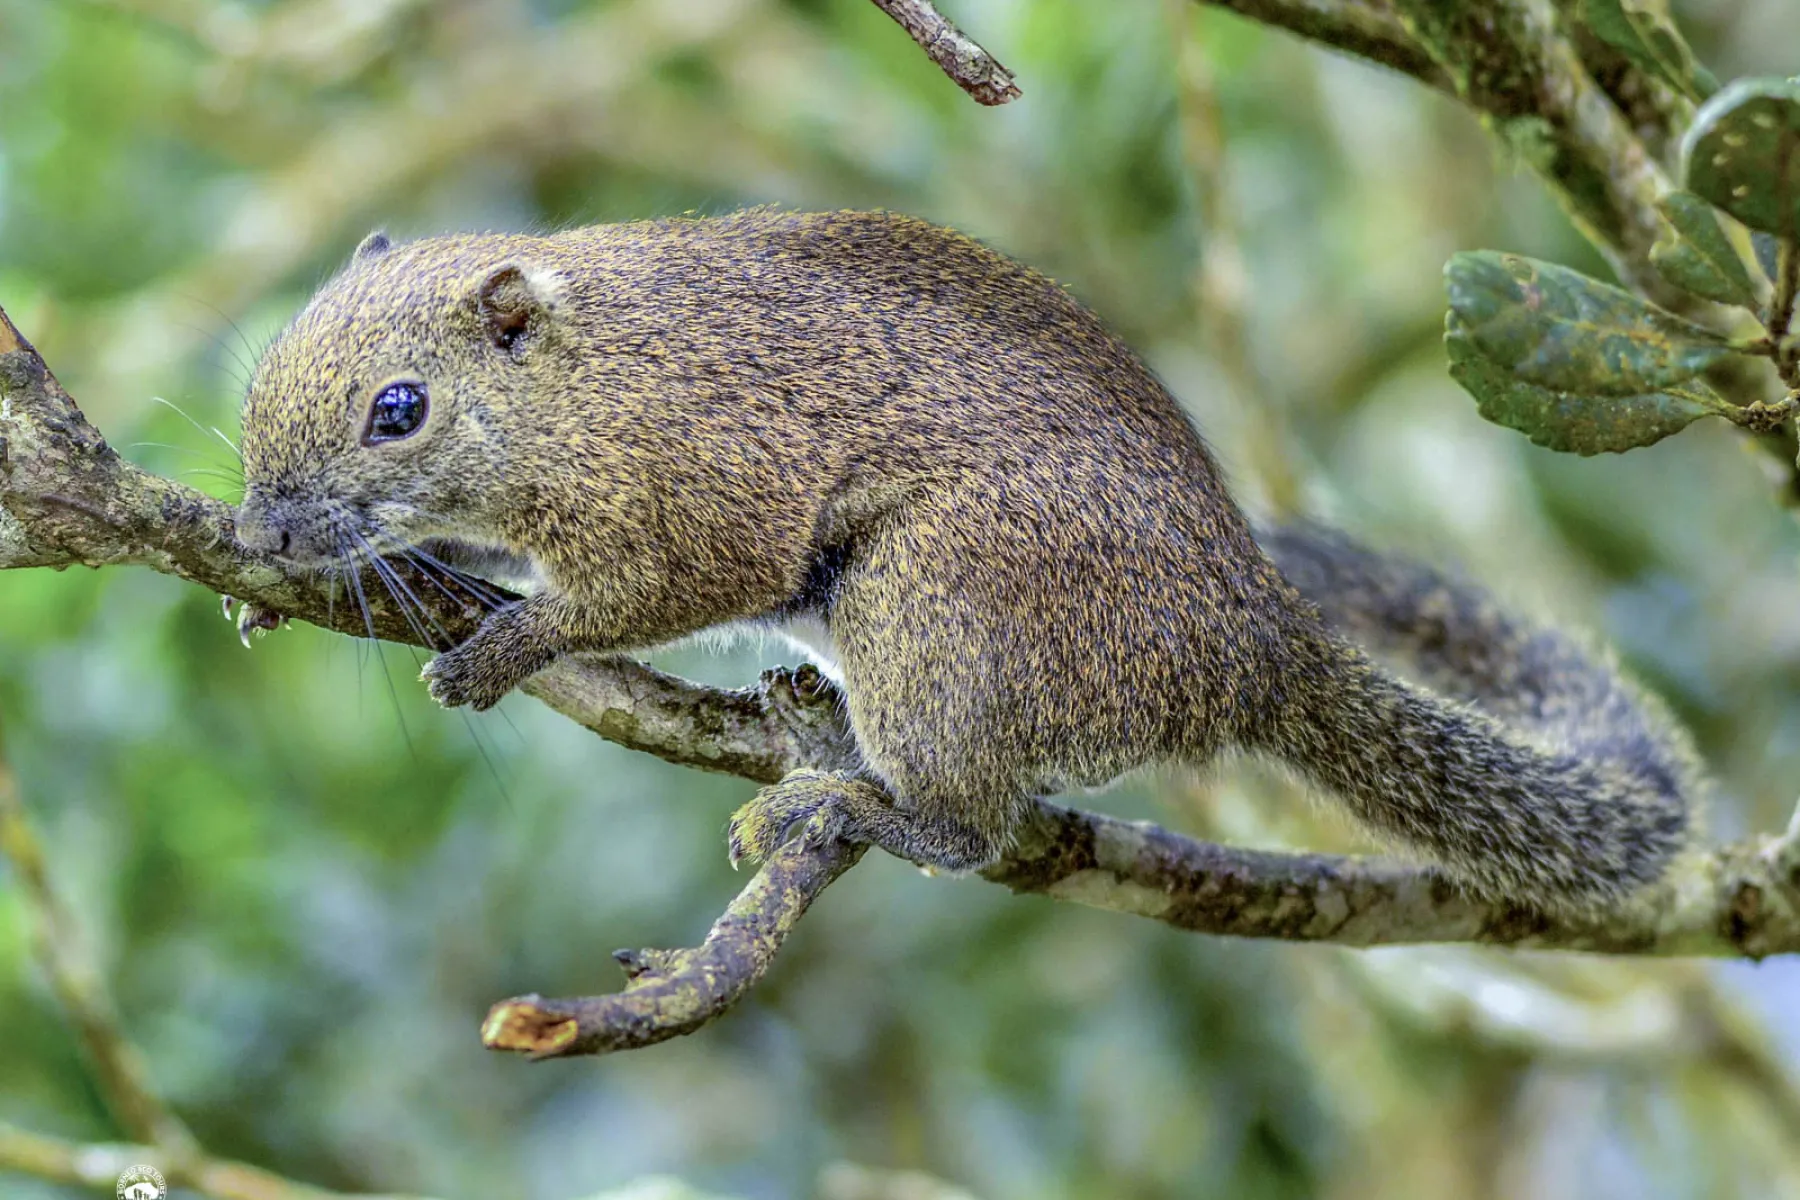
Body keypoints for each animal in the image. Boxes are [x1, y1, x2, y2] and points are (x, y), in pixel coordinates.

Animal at [233, 209, 1701, 912]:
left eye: (399, 409)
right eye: (261, 367)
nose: (258, 530)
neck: (577, 383)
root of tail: (1254, 650)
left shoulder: (701, 488)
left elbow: (653, 595)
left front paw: (508, 645)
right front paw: (288, 595)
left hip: (936, 605)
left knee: (971, 829)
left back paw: (848, 807)